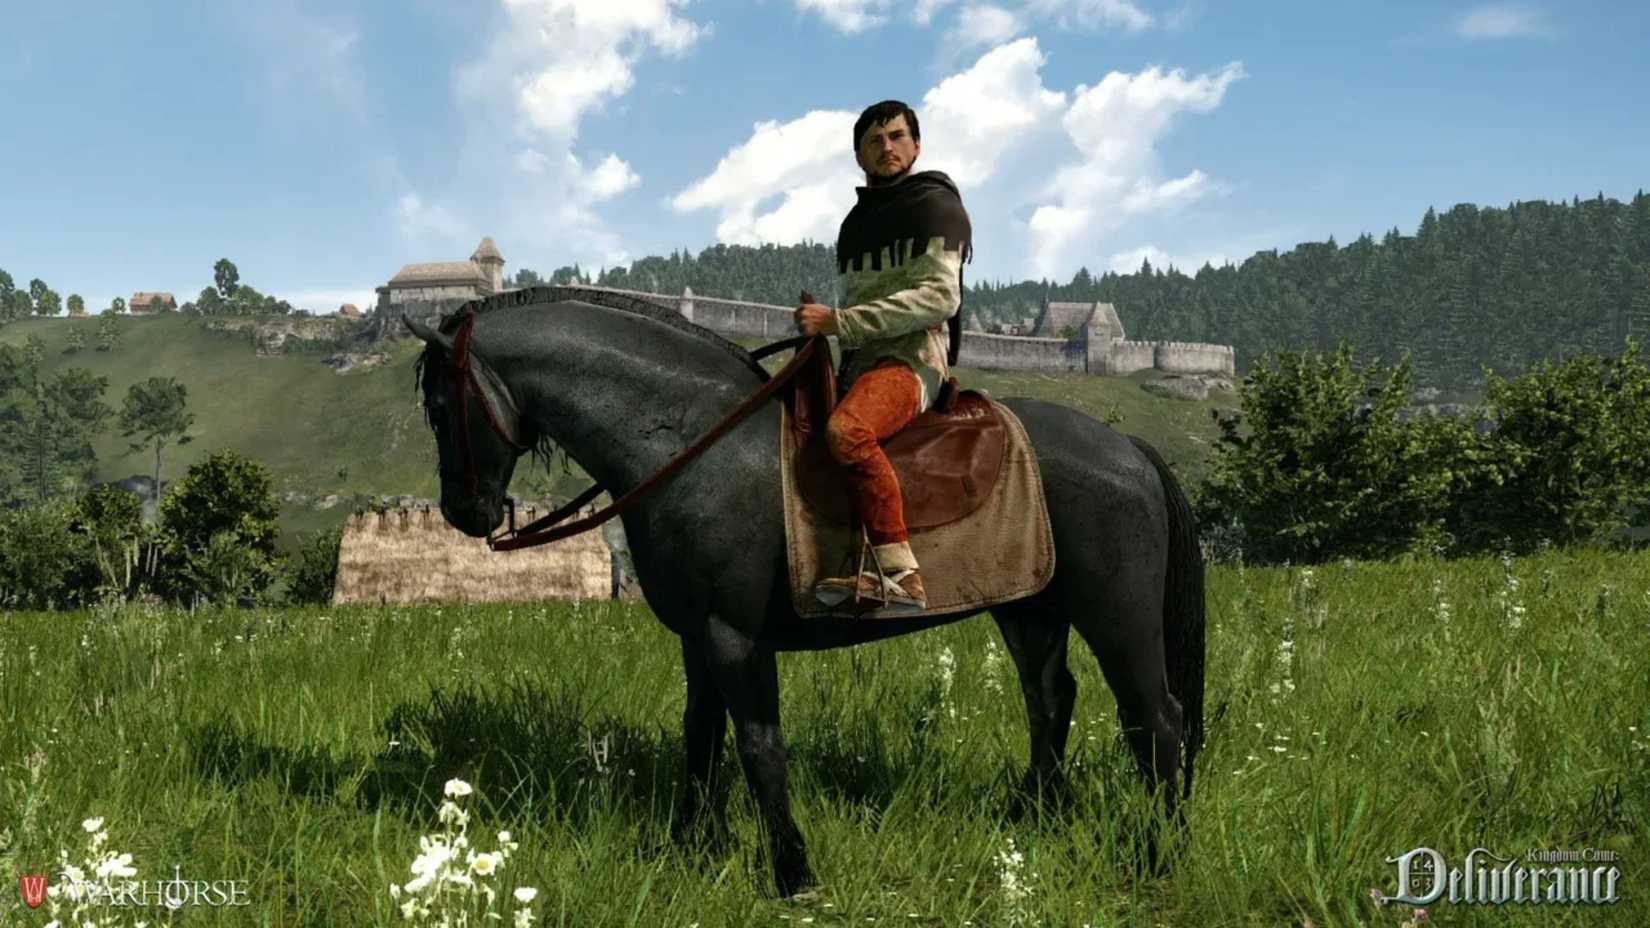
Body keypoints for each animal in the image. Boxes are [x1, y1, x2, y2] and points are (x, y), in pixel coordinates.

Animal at [404, 287, 1206, 898]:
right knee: (1050, 698)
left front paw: (793, 873)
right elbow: (700, 737)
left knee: (1155, 719)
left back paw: (1160, 853)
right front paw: (689, 845)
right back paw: (1031, 817)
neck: (695, 444)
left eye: (442, 406)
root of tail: (1129, 451)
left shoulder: (734, 636)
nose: (464, 512)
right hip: (1029, 609)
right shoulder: (697, 637)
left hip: (1117, 617)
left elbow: (759, 746)